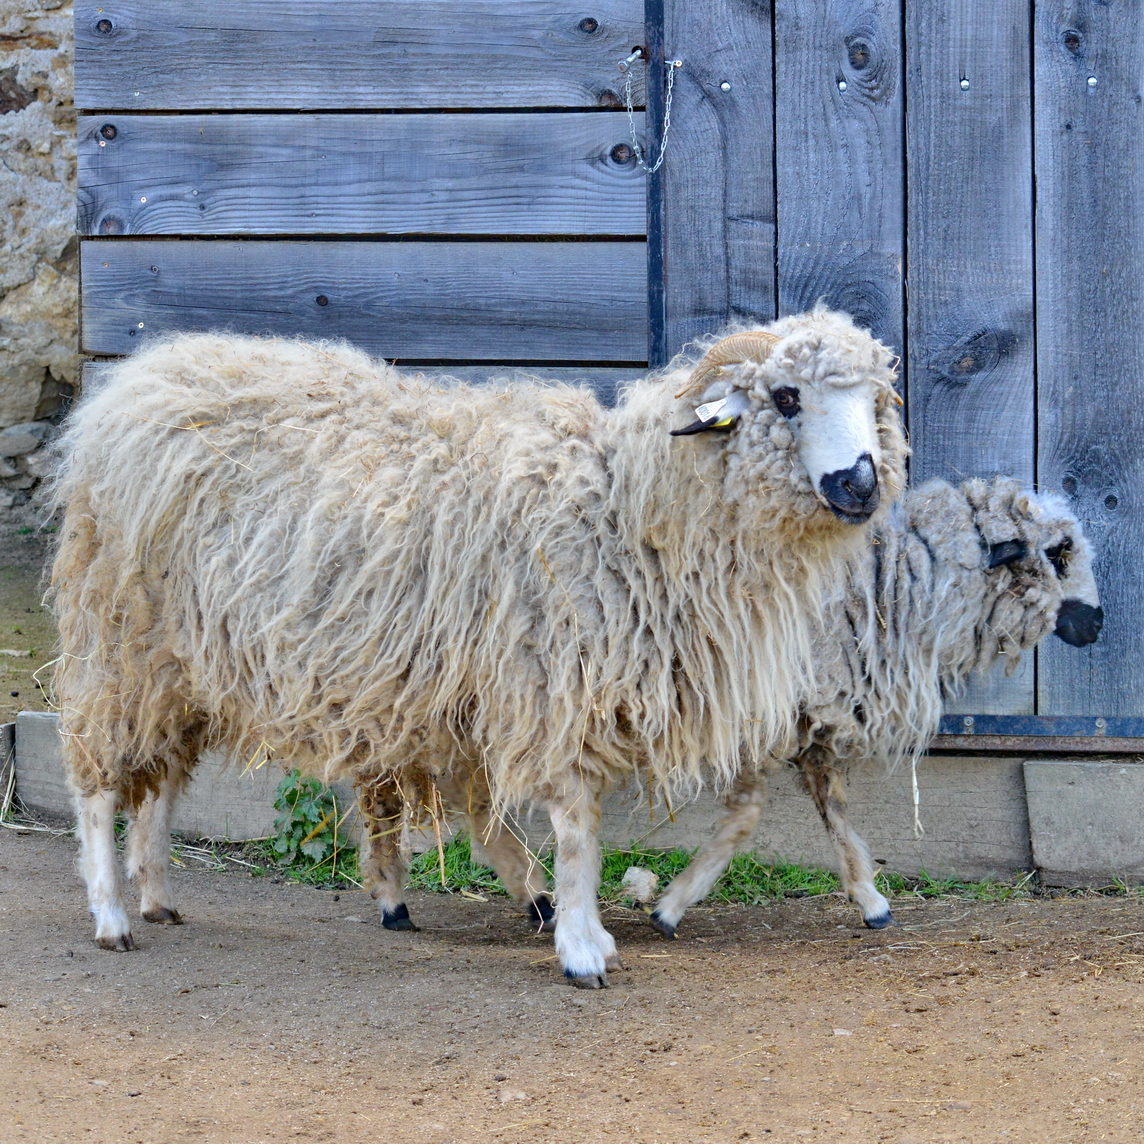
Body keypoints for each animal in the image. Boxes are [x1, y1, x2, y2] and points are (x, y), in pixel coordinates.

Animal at [49, 308, 907, 986]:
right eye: (786, 398)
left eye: (873, 401)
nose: (860, 485)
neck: (629, 508)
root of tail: (138, 378)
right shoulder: (553, 683)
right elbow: (577, 827)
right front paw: (583, 946)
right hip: (120, 635)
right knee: (97, 778)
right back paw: (110, 913)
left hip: (182, 659)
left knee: (162, 778)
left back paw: (157, 893)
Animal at [643, 476, 1103, 938]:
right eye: (1058, 551)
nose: (1097, 623)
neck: (879, 591)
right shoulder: (760, 714)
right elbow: (749, 813)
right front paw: (671, 905)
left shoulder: (812, 713)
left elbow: (830, 806)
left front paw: (869, 899)